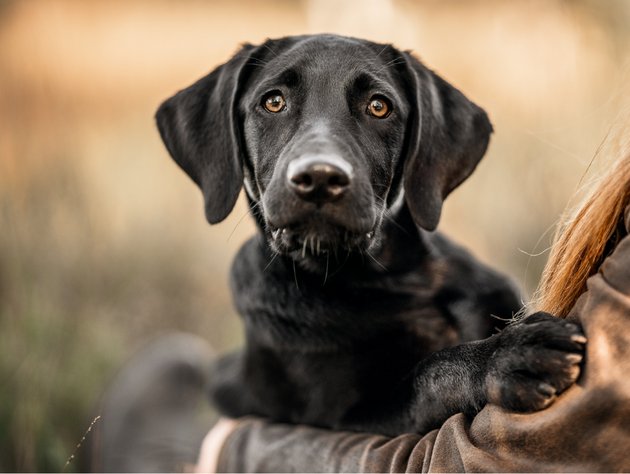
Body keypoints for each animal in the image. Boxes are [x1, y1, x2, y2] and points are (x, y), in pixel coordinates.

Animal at [157, 35, 588, 436]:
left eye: (379, 106)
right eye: (273, 101)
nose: (320, 178)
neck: (392, 280)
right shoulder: (341, 420)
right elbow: (428, 373)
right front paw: (507, 356)